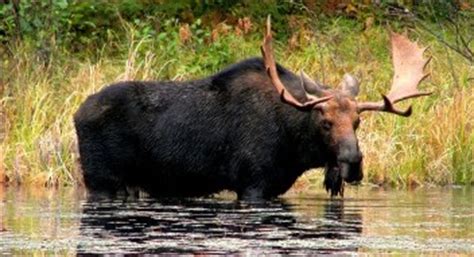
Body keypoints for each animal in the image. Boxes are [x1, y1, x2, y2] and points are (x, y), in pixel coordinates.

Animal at [73, 18, 430, 199]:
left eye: (357, 122)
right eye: (325, 121)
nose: (353, 163)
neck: (295, 148)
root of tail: (76, 113)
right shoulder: (252, 183)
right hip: (101, 180)